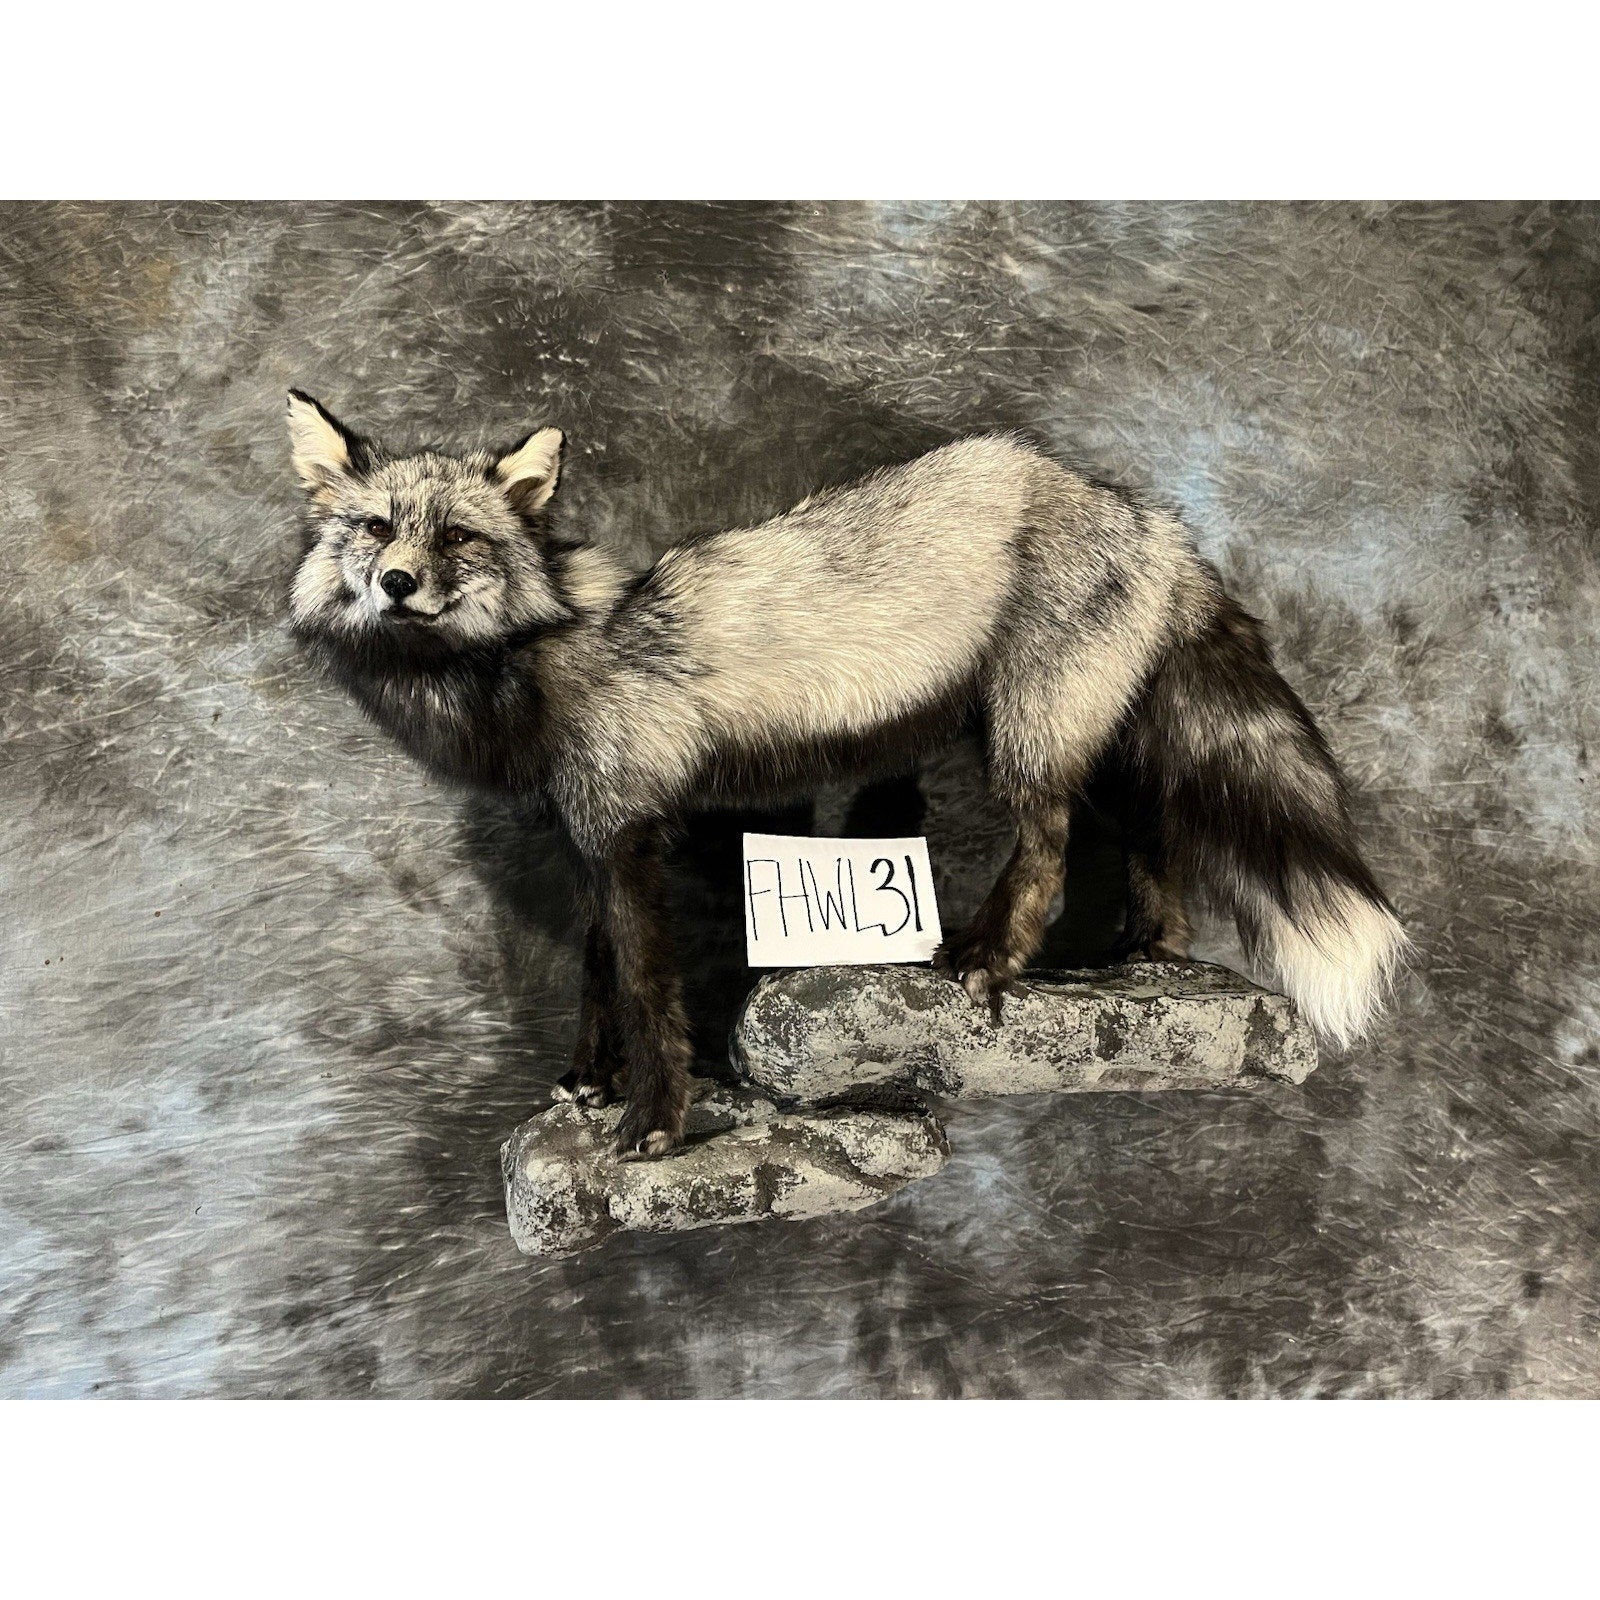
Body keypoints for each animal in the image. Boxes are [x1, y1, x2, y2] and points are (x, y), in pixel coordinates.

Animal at [285, 392, 1406, 1158]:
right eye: (376, 528)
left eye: (458, 536)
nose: (397, 584)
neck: (541, 657)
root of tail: (1145, 514)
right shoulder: (589, 833)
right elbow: (598, 974)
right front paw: (586, 1080)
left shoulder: (624, 830)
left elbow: (647, 989)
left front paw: (654, 1119)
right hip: (1096, 734)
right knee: (1149, 833)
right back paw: (1144, 951)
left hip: (1028, 732)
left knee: (1050, 850)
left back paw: (990, 961)